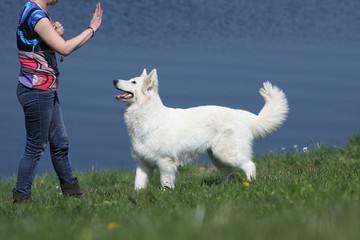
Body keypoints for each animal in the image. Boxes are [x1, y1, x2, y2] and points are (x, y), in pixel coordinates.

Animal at [114, 68, 288, 190]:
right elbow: (138, 185)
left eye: (133, 82)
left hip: (226, 154)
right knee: (230, 173)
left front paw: (165, 195)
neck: (148, 116)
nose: (114, 80)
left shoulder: (166, 162)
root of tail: (245, 116)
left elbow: (166, 184)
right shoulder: (142, 165)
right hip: (217, 157)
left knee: (250, 166)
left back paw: (249, 184)